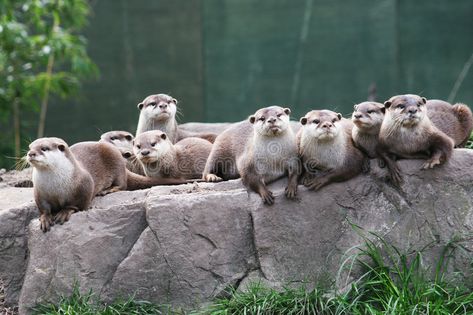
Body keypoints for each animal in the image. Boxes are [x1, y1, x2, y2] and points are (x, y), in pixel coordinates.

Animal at [27, 138, 188, 232]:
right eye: (30, 147)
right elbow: (43, 208)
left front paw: (64, 211)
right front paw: (45, 218)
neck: (56, 186)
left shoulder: (85, 185)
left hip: (116, 160)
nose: (30, 153)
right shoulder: (39, 193)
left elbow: (77, 204)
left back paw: (108, 190)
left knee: (122, 184)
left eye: (44, 148)